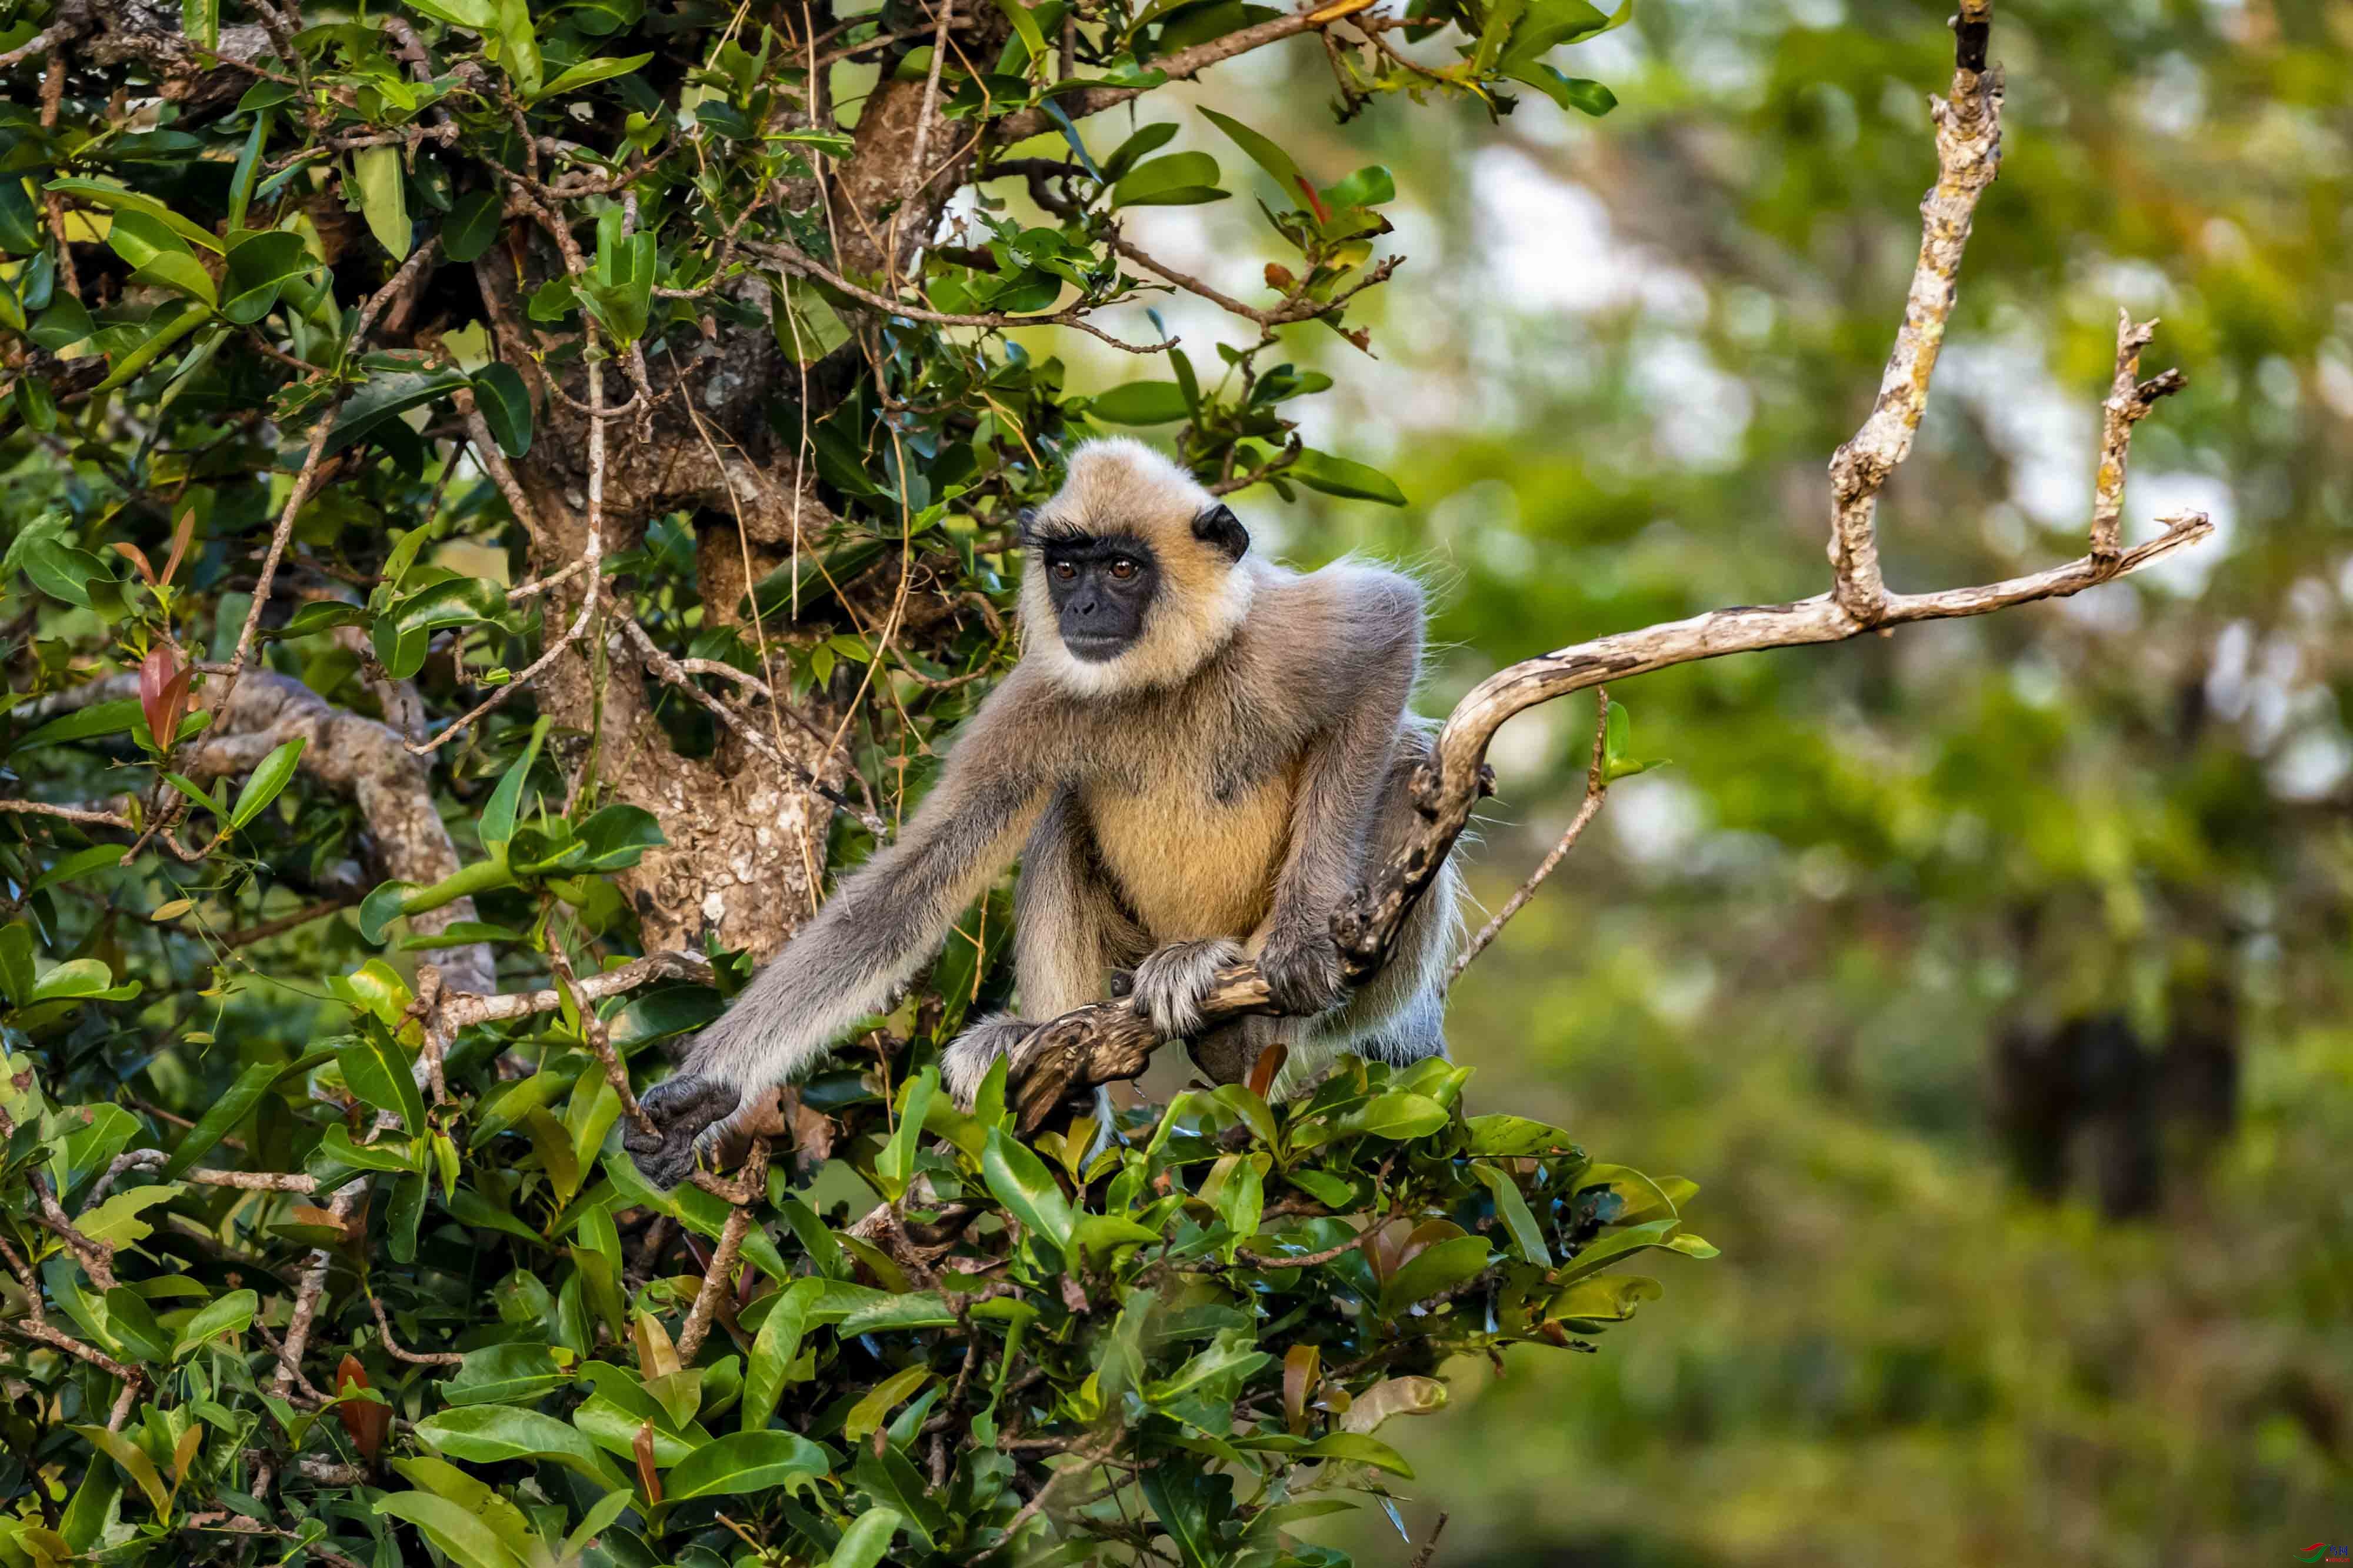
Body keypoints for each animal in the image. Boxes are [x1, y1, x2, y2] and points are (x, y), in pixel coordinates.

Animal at [626, 433, 1449, 1177]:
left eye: (1122, 568)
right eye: (1066, 568)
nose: (1081, 604)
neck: (1163, 679)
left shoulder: (1277, 640)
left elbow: (1392, 626)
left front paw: (1305, 937)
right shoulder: (1034, 699)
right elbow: (901, 897)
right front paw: (704, 1092)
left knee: (1409, 755)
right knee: (1058, 821)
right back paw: (1065, 1073)